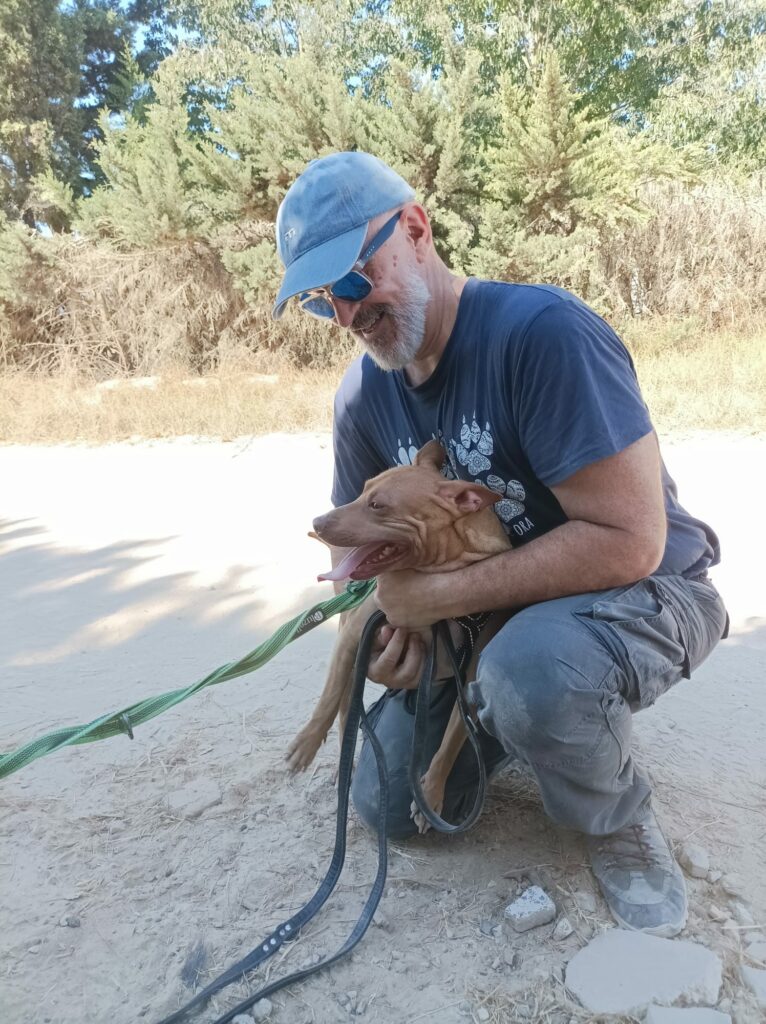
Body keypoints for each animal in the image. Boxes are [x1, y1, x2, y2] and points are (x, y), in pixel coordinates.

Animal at [286, 439, 511, 832]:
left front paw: (431, 794)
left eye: (378, 505)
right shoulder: (352, 639)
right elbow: (327, 700)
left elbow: (453, 739)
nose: (316, 522)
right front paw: (306, 742)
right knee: (344, 713)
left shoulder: (469, 681)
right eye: (361, 491)